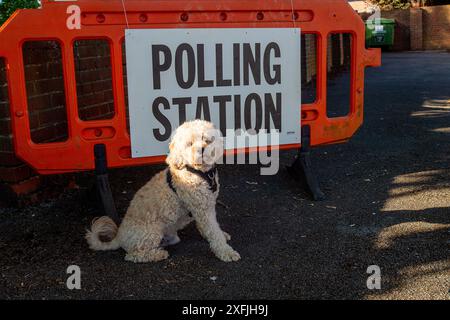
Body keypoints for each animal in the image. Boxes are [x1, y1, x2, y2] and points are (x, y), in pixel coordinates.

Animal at [84, 120, 239, 262]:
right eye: (189, 144)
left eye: (207, 140)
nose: (201, 149)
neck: (199, 172)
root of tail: (119, 237)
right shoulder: (202, 210)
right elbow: (213, 232)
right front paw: (226, 252)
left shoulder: (207, 206)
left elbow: (212, 228)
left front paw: (220, 235)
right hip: (151, 232)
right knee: (133, 255)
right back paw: (158, 254)